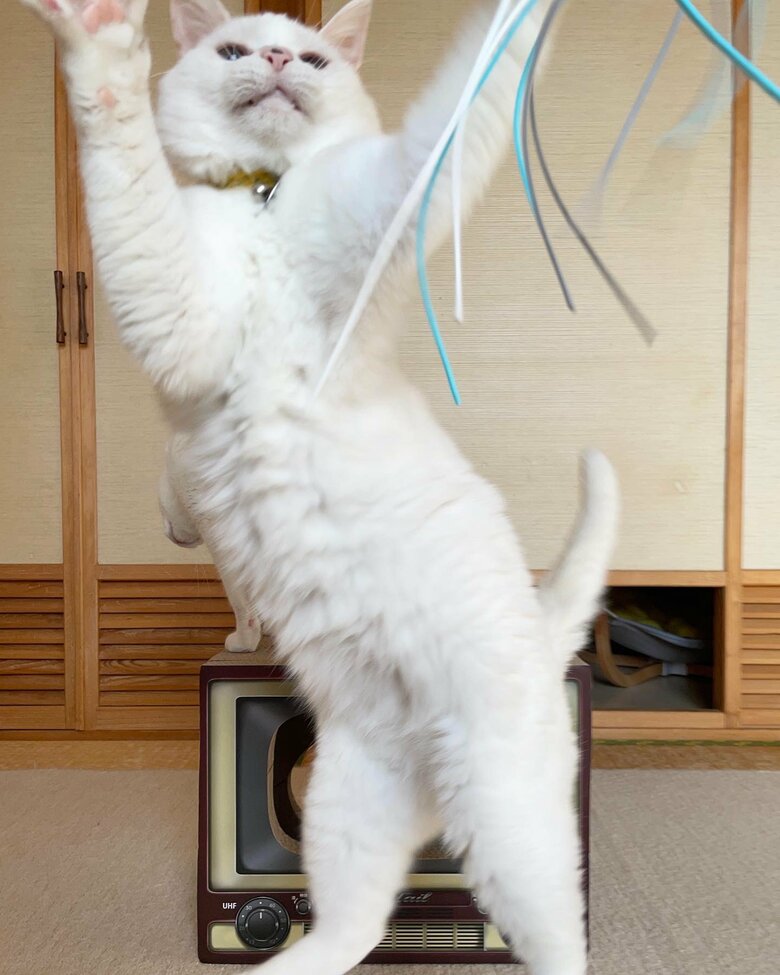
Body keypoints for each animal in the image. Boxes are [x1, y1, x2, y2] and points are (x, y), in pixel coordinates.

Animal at [18, 1, 619, 973]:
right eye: (233, 48)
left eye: (312, 57)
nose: (272, 56)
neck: (265, 198)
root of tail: (540, 635)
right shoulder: (179, 319)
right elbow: (126, 164)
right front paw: (99, 43)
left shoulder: (397, 193)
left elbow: (467, 98)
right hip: (345, 807)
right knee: (351, 927)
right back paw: (282, 964)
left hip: (507, 831)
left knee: (560, 940)